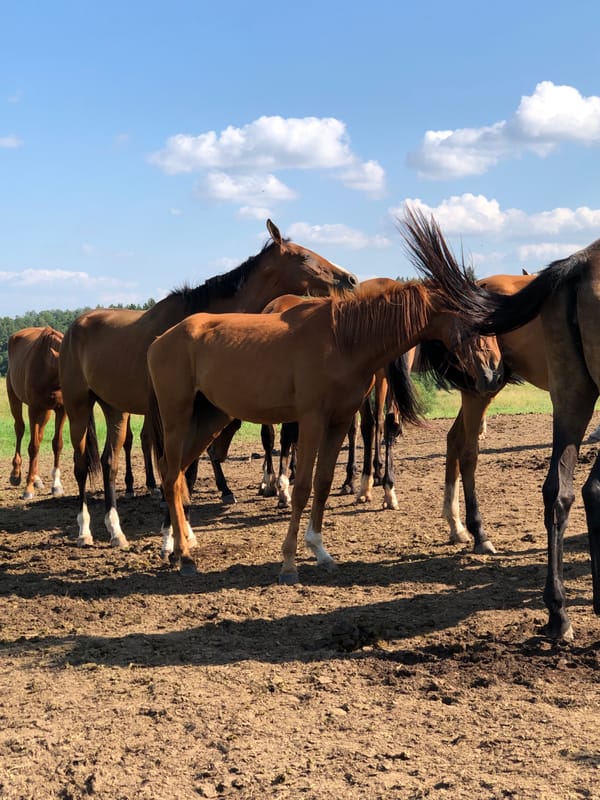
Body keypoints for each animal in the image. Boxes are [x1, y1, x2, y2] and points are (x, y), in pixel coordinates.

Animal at [6, 326, 66, 500]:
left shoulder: (62, 410)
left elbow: (57, 444)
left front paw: (56, 486)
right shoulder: (34, 409)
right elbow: (33, 446)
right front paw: (28, 488)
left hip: (45, 412)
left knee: (39, 435)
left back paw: (37, 478)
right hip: (15, 399)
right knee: (20, 429)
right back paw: (16, 474)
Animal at [58, 219, 358, 550]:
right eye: (304, 256)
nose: (350, 278)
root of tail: (74, 328)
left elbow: (187, 470)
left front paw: (183, 530)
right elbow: (176, 467)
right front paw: (172, 534)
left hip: (115, 409)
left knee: (109, 463)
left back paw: (115, 531)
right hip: (77, 406)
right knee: (81, 465)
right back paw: (85, 531)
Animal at [146, 208, 504, 583]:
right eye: (474, 319)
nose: (494, 373)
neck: (343, 339)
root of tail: (161, 339)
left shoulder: (339, 421)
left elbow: (323, 482)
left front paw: (319, 549)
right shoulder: (311, 420)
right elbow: (303, 486)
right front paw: (289, 563)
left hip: (209, 419)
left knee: (178, 476)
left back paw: (180, 546)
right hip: (177, 419)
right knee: (169, 477)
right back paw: (183, 555)